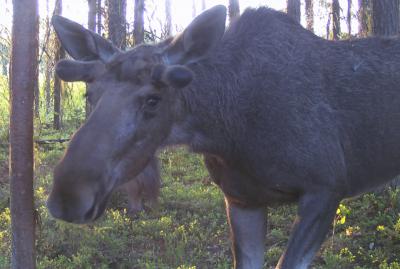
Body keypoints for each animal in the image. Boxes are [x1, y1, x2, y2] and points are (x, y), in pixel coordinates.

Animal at [47, 4, 400, 268]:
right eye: (89, 93)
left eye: (153, 100)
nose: (68, 194)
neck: (228, 131)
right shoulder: (241, 199)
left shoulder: (326, 188)